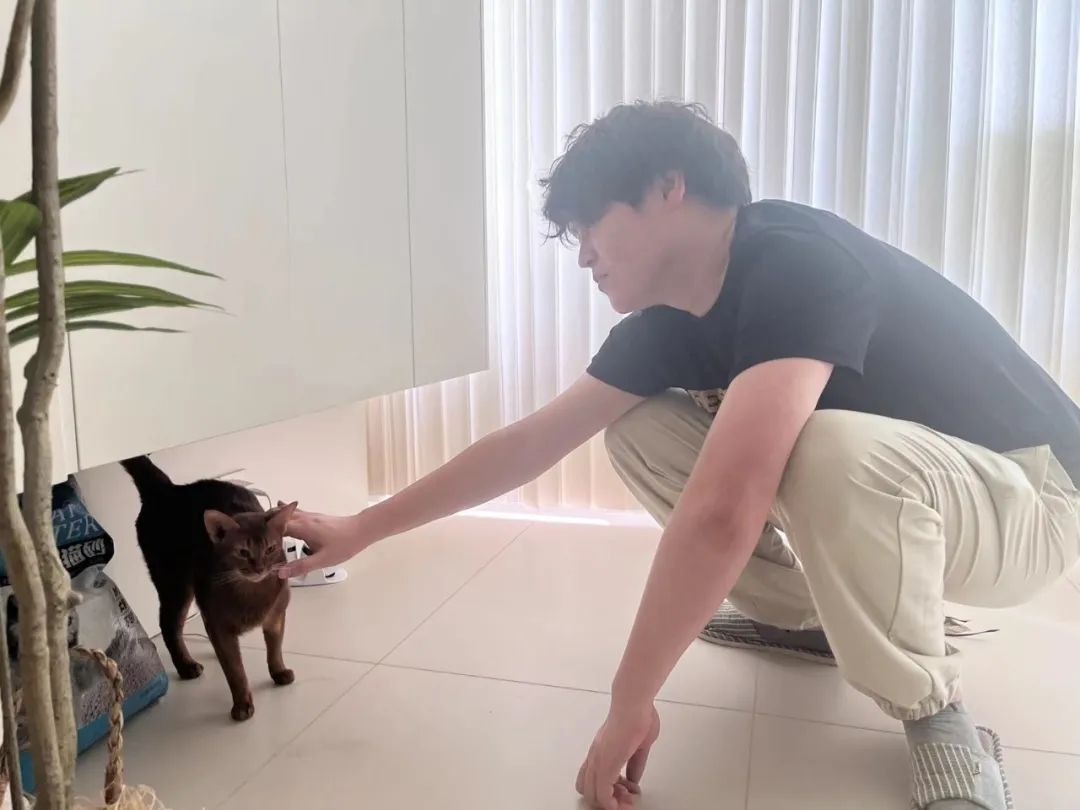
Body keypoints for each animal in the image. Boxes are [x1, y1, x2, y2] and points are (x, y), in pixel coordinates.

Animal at [121, 456, 298, 721]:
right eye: (242, 552)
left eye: (270, 549)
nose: (259, 568)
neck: (250, 594)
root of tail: (169, 489)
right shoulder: (217, 621)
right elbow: (235, 671)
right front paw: (242, 705)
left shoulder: (276, 615)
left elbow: (274, 649)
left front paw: (279, 672)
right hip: (175, 585)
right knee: (169, 626)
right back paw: (186, 666)